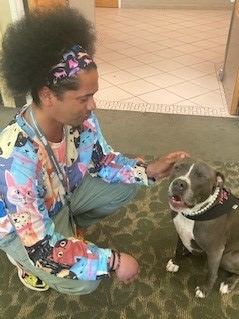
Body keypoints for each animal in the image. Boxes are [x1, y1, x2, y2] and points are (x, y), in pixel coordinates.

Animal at [167, 158, 239, 300]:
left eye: (200, 176)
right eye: (178, 168)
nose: (179, 183)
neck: (192, 213)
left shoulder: (215, 251)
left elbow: (211, 273)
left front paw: (205, 290)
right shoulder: (180, 233)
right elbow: (178, 249)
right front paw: (176, 262)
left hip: (227, 258)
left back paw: (228, 283)